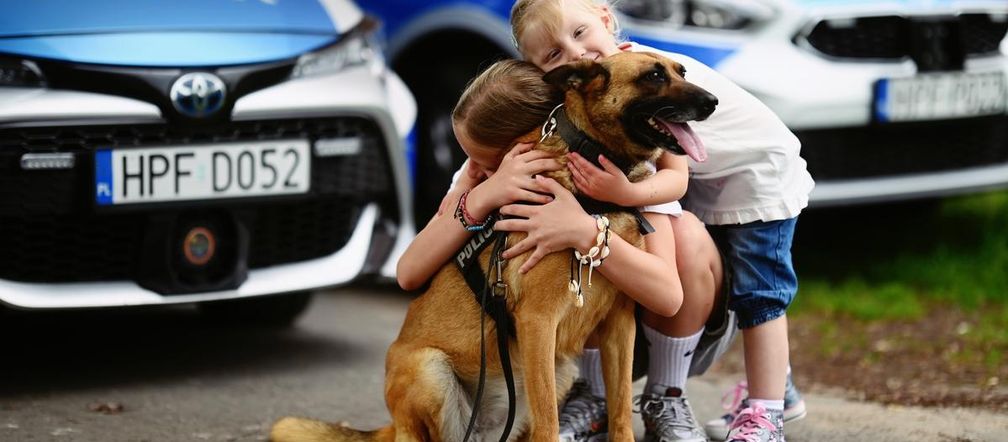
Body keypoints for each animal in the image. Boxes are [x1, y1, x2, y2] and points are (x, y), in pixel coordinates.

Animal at [270, 49, 717, 439]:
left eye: (681, 71)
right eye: (654, 76)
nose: (713, 101)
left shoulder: (619, 327)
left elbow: (622, 411)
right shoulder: (539, 321)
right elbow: (550, 425)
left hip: (556, 372)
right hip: (431, 370)